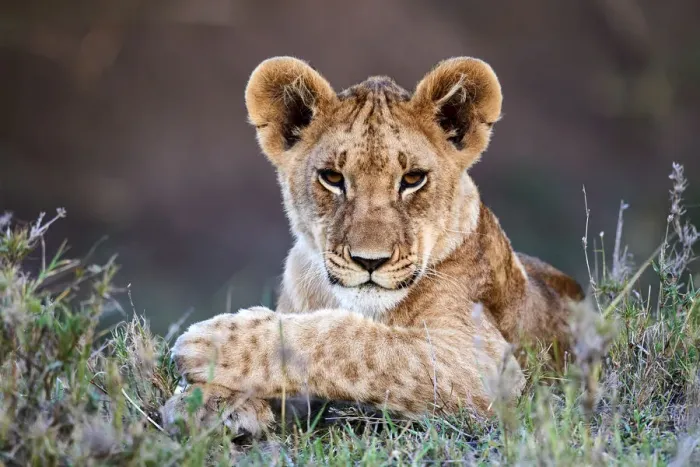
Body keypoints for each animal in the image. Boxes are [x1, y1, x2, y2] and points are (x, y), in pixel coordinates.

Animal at [162, 56, 585, 437]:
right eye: (332, 178)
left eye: (412, 179)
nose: (370, 261)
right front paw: (204, 402)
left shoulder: (488, 364)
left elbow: (359, 343)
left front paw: (212, 346)